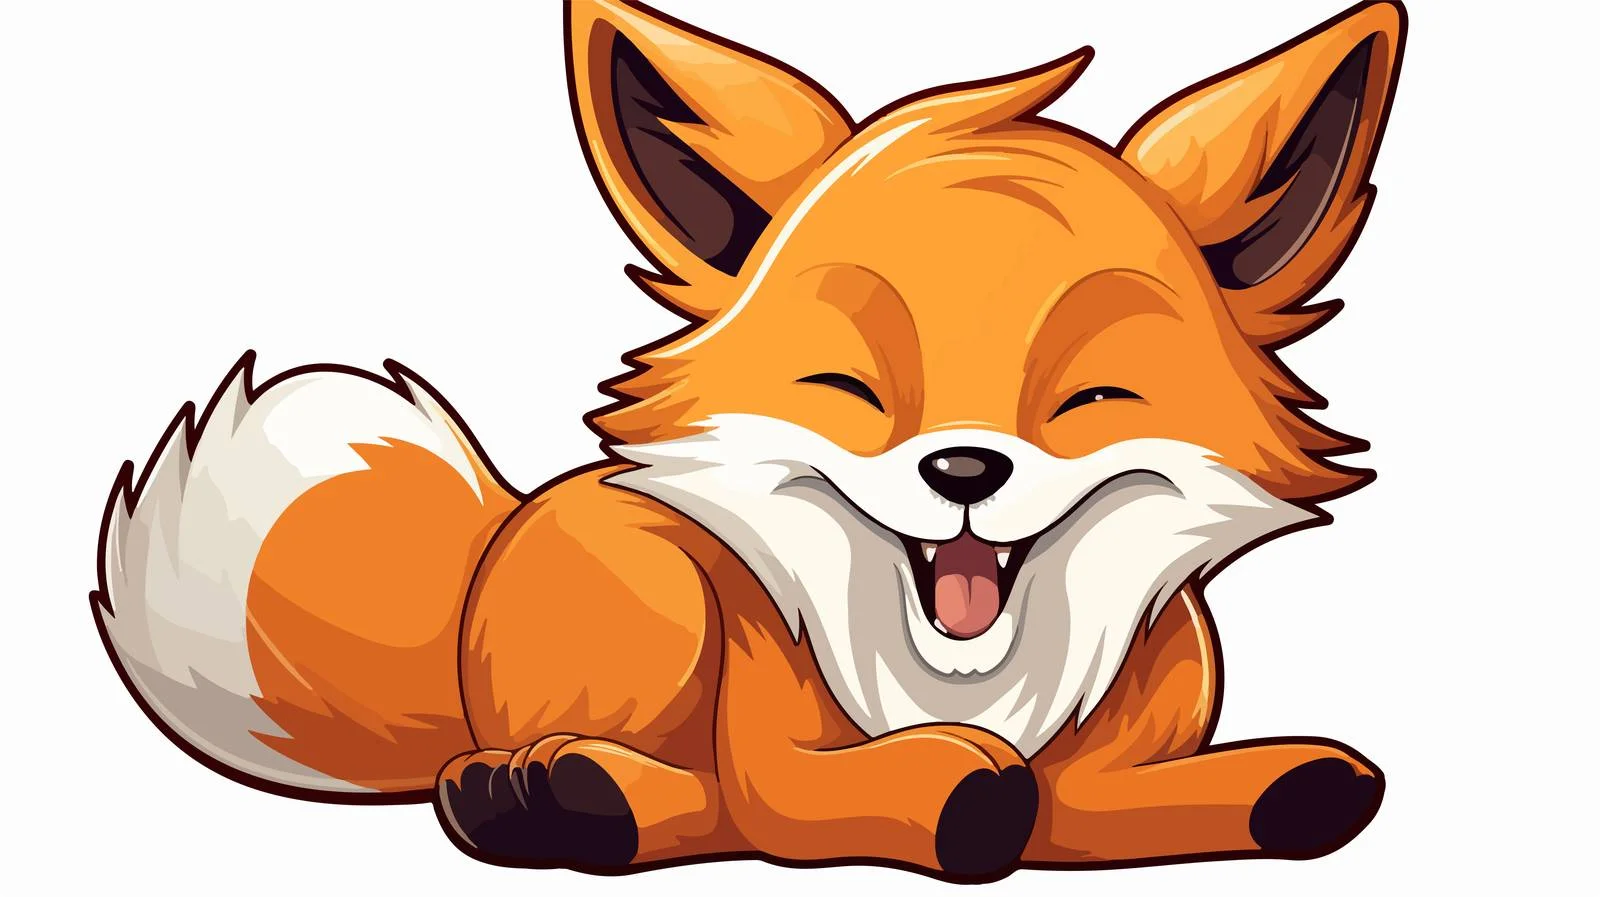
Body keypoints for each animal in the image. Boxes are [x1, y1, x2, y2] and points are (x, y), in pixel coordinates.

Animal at [91, 0, 1406, 881]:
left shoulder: (1110, 756)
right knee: (639, 795)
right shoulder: (775, 753)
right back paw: (561, 793)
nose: (964, 468)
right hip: (657, 601)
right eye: (846, 388)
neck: (967, 681)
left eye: (1090, 399)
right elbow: (830, 800)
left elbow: (1094, 806)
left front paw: (1276, 784)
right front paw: (949, 785)